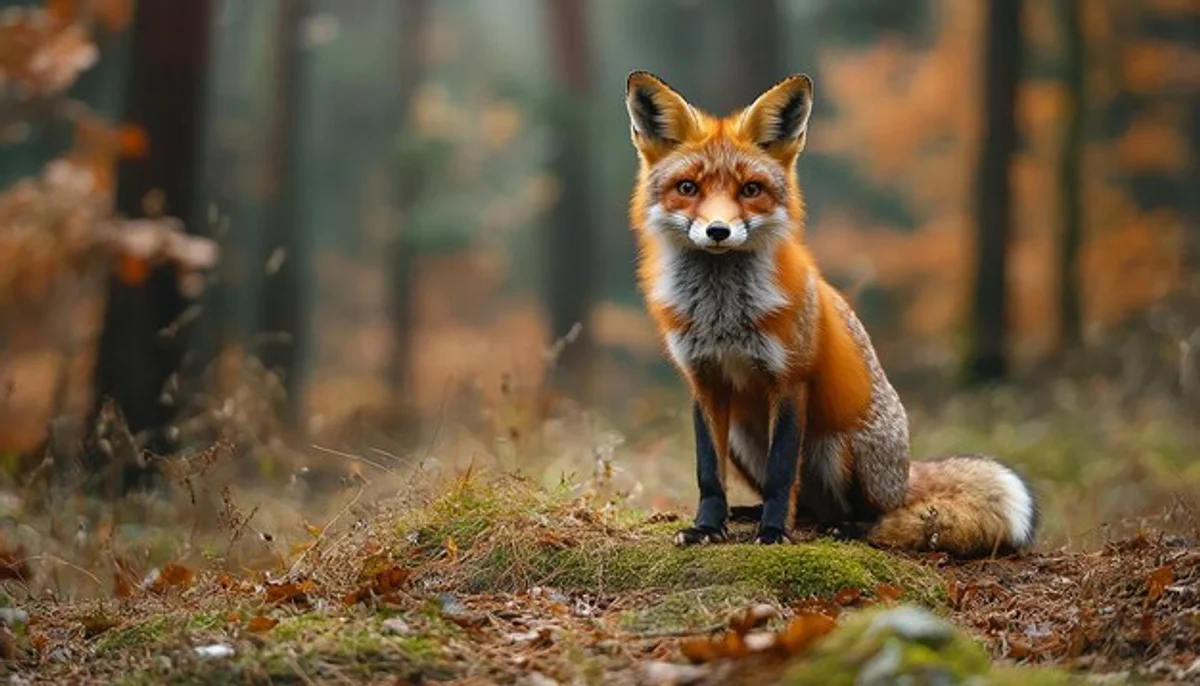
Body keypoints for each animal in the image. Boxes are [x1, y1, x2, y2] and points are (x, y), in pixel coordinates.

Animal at [623, 70, 1039, 558]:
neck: (722, 315)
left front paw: (773, 533)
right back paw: (754, 513)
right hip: (744, 438)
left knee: (867, 513)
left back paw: (842, 526)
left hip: (835, 447)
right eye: (688, 188)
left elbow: (783, 473)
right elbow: (708, 473)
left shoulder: (791, 379)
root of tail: (903, 474)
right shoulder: (704, 381)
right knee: (805, 504)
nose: (718, 231)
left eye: (750, 190)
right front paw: (707, 527)